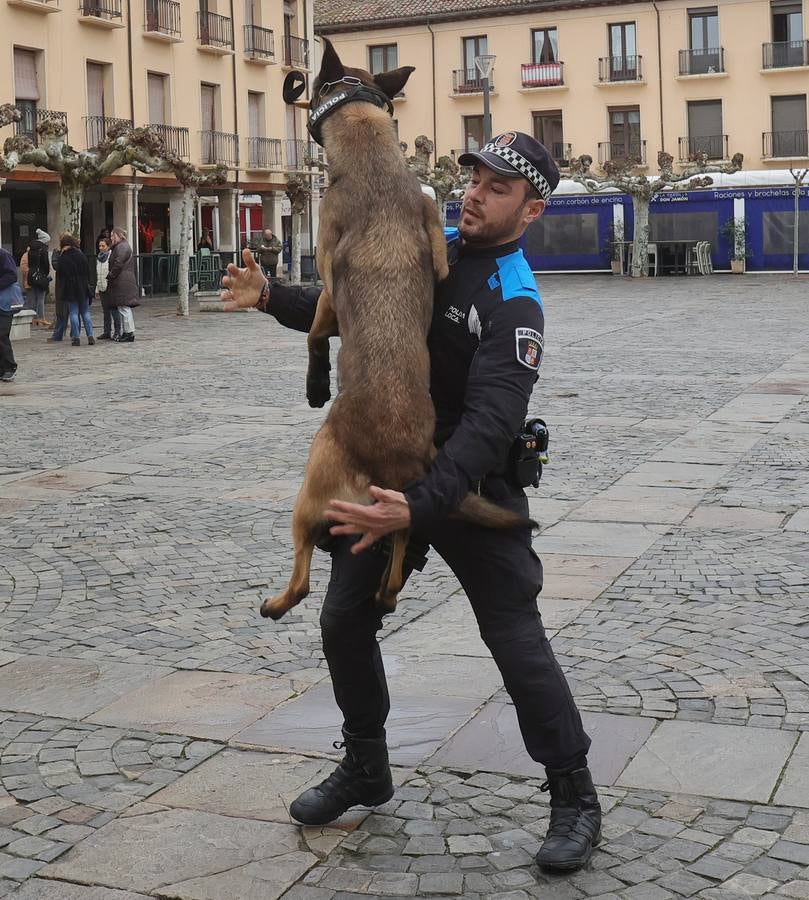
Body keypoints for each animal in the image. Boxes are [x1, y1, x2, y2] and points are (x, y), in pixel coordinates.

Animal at [262, 40, 528, 620]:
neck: (372, 155)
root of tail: (400, 465)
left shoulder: (328, 279)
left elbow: (316, 333)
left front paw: (316, 382)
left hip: (311, 487)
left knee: (305, 575)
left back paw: (277, 602)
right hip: (387, 510)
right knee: (403, 534)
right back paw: (387, 590)